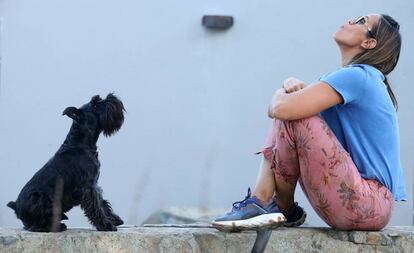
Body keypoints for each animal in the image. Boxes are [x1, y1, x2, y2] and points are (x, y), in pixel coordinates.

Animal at [6, 94, 125, 232]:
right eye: (95, 105)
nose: (113, 97)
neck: (80, 143)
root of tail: (16, 207)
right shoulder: (88, 187)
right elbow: (96, 207)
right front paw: (106, 225)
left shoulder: (95, 185)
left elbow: (102, 203)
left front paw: (114, 220)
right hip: (40, 198)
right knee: (35, 226)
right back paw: (58, 225)